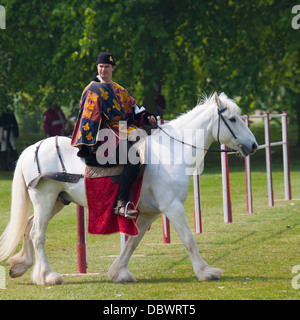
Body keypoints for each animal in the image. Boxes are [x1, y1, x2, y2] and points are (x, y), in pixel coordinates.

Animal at [0, 92, 258, 284]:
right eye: (232, 119)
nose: (254, 145)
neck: (172, 152)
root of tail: (32, 149)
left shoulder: (149, 213)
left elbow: (133, 243)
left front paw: (118, 272)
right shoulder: (172, 207)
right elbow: (188, 239)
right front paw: (205, 271)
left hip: (57, 201)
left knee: (29, 226)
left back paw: (21, 266)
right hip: (45, 199)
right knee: (38, 234)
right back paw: (47, 276)